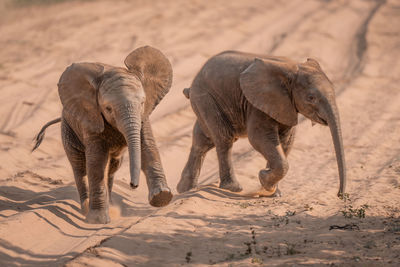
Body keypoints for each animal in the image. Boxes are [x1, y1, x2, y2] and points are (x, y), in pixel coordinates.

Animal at [32, 46, 173, 224]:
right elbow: (96, 163)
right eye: (108, 109)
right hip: (68, 130)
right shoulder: (90, 118)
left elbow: (148, 147)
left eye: (142, 103)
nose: (133, 185)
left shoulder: (143, 116)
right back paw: (86, 209)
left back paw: (110, 204)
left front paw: (162, 198)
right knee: (80, 168)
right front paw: (97, 220)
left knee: (112, 168)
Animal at [177, 51, 346, 199]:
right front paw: (264, 178)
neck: (293, 69)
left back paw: (186, 190)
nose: (340, 195)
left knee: (203, 140)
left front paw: (272, 192)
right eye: (311, 97)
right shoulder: (258, 104)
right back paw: (232, 188)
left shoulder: (285, 105)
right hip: (206, 98)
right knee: (224, 138)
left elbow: (284, 142)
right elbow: (259, 138)